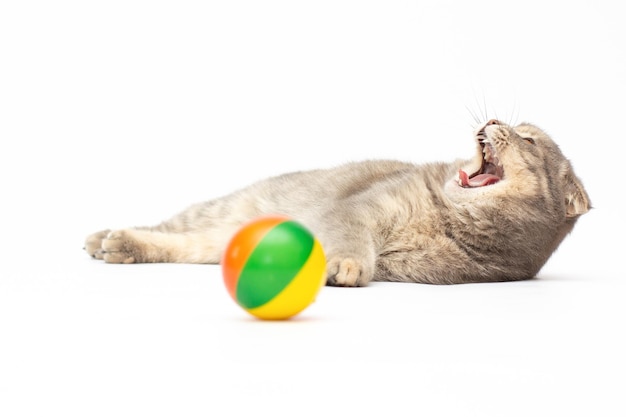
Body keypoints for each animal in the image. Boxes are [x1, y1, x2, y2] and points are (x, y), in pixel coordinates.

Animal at [85, 118, 588, 284]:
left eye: (527, 139)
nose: (493, 119)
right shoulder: (359, 209)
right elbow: (352, 238)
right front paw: (346, 263)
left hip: (218, 239)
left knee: (186, 244)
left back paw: (120, 246)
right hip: (222, 208)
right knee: (171, 227)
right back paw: (106, 238)